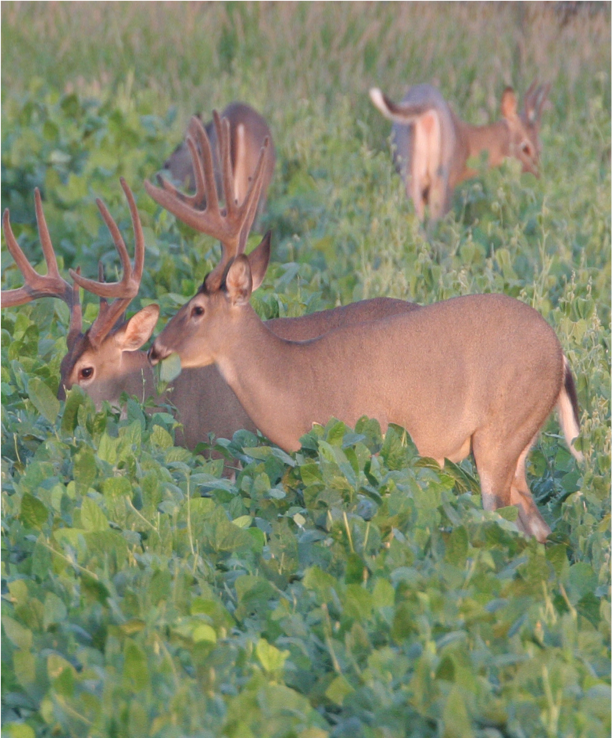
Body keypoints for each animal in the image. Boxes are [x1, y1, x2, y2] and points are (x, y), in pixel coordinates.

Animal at [368, 81, 548, 220]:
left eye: (540, 146)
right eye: (526, 148)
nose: (538, 175)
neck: (468, 142)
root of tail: (427, 109)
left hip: (409, 172)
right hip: (441, 178)